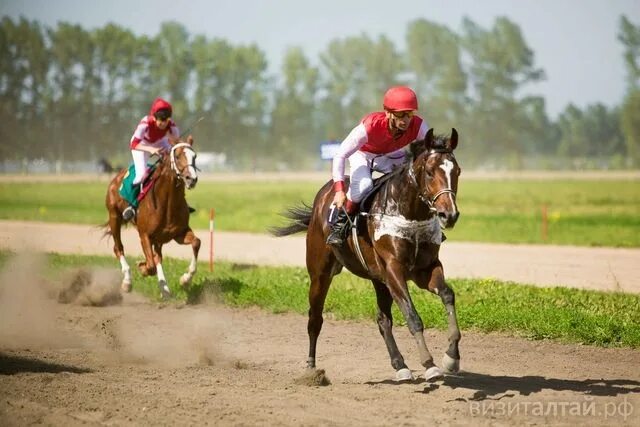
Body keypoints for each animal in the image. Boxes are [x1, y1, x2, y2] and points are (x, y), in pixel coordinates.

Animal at [104, 136, 201, 298]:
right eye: (177, 156)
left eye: (194, 156)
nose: (191, 179)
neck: (167, 202)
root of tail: (117, 177)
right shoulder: (145, 235)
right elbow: (150, 266)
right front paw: (142, 267)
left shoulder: (179, 233)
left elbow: (196, 242)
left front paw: (185, 279)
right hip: (114, 217)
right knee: (118, 248)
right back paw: (127, 282)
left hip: (159, 238)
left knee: (158, 257)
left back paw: (165, 290)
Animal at [272, 129, 462, 382]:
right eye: (430, 172)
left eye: (457, 171)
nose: (449, 215)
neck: (409, 215)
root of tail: (323, 195)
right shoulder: (394, 269)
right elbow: (412, 316)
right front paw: (429, 364)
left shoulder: (425, 268)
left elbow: (448, 295)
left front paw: (451, 357)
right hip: (320, 273)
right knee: (315, 319)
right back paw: (312, 370)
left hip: (378, 279)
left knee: (383, 319)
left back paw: (400, 365)